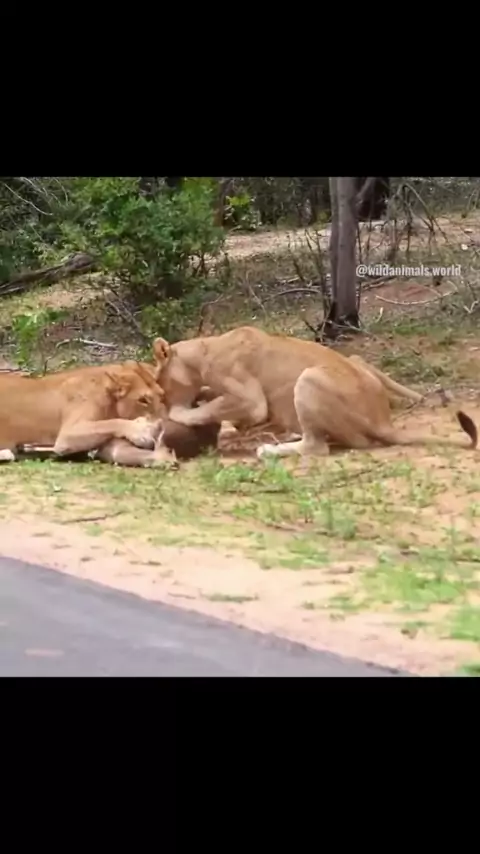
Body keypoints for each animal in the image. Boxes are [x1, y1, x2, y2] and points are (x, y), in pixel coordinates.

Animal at [151, 326, 478, 459]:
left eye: (161, 387)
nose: (162, 404)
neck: (204, 351)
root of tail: (384, 419)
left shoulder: (251, 400)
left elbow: (207, 409)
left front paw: (179, 413)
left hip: (309, 378)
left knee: (317, 447)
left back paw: (270, 450)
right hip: (355, 366)